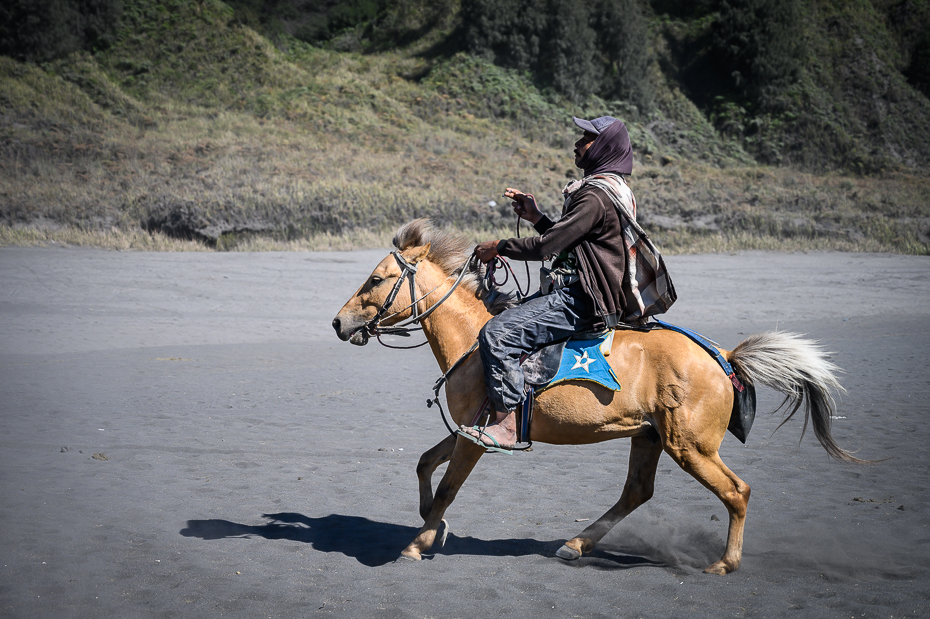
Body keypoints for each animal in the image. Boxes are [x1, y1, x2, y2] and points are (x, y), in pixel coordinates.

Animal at [330, 220, 860, 572]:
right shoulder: (467, 429)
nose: (338, 322)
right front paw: (431, 527)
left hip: (690, 446)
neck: (473, 341)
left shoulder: (478, 437)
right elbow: (424, 464)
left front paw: (416, 543)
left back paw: (724, 564)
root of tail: (722, 356)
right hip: (650, 437)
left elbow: (446, 487)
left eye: (375, 279)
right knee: (637, 491)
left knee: (737, 491)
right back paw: (576, 544)